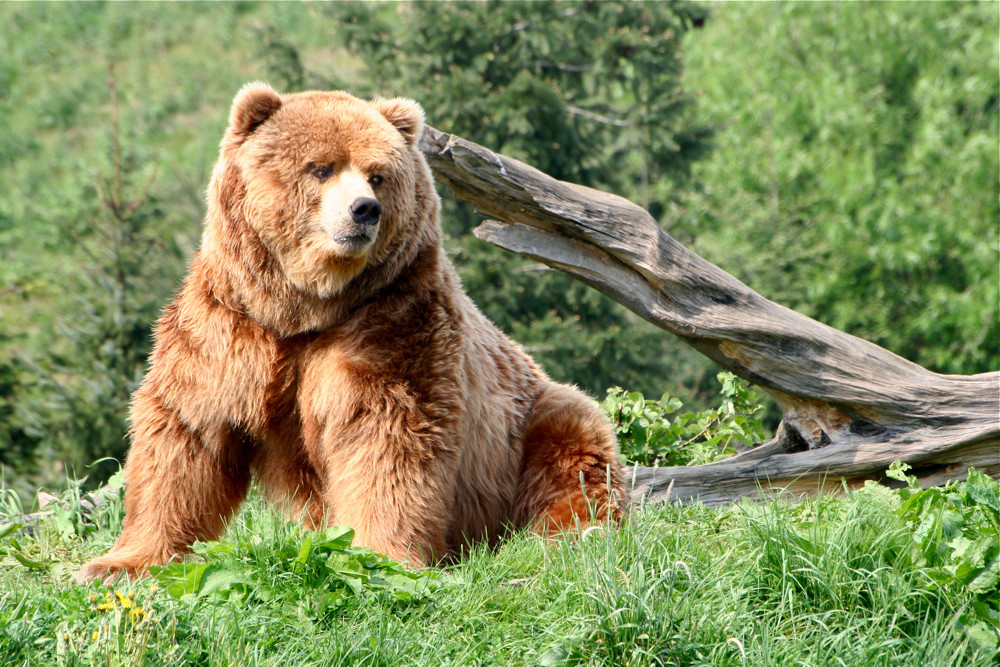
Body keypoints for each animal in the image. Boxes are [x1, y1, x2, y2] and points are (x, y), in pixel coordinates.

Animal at [78, 85, 624, 584]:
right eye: (320, 168)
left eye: (377, 175)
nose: (364, 209)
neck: (307, 307)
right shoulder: (230, 324)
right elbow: (187, 433)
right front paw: (118, 564)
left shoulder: (391, 320)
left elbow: (387, 439)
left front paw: (378, 557)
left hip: (527, 422)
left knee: (574, 454)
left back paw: (568, 532)